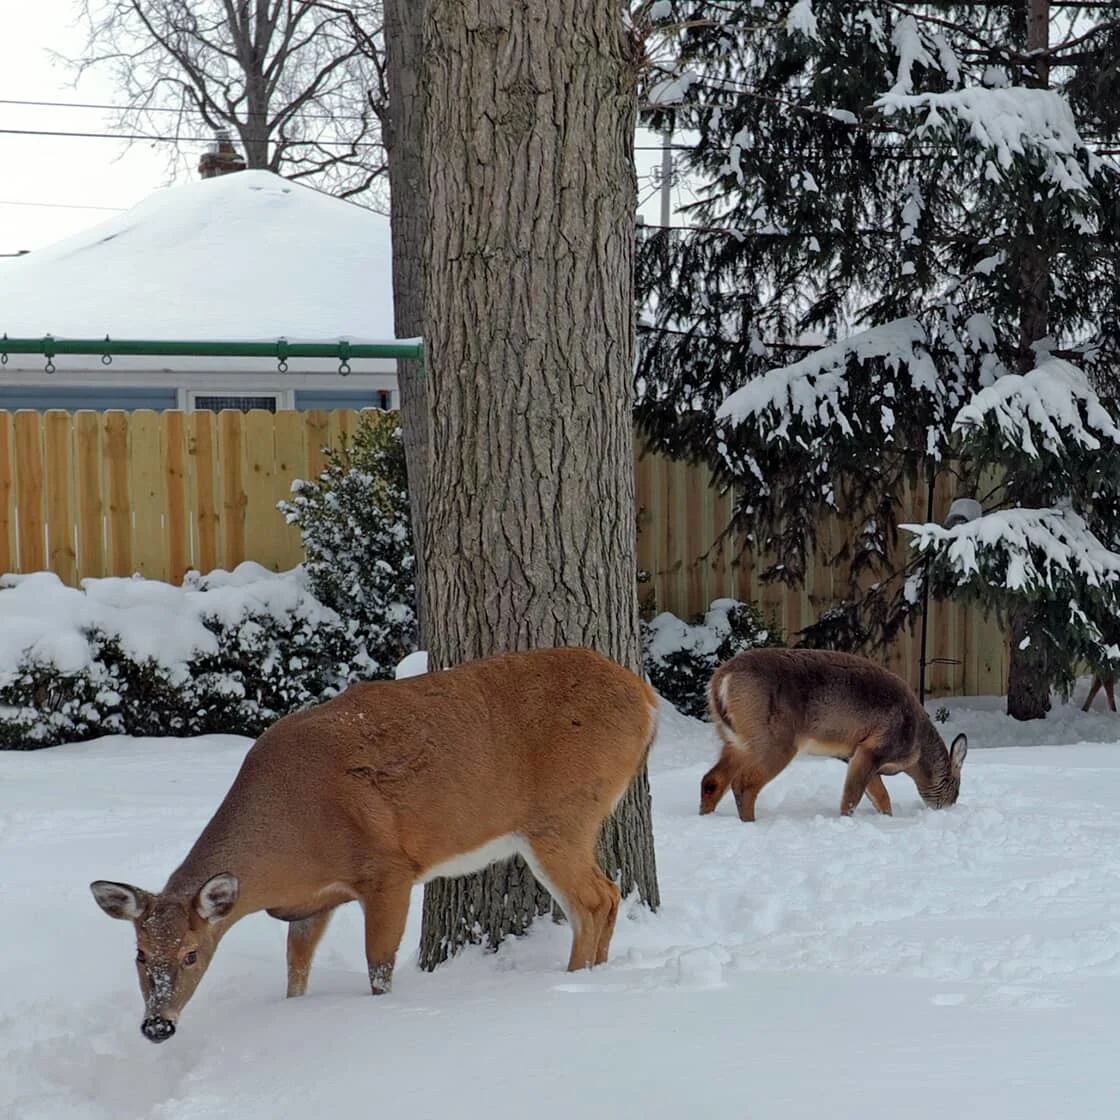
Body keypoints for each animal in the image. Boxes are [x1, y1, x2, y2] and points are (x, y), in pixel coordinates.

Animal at [96, 645, 658, 1043]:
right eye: (140, 954)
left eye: (192, 954)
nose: (157, 1027)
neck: (292, 834)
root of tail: (646, 699)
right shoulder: (312, 904)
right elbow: (295, 972)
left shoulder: (388, 870)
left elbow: (379, 970)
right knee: (607, 895)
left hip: (562, 815)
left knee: (595, 899)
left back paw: (572, 982)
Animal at [698, 649, 963, 824]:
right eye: (957, 788)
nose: (948, 807)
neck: (918, 750)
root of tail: (720, 679)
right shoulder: (875, 748)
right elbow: (852, 797)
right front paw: (847, 822)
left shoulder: (855, 755)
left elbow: (881, 797)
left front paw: (888, 819)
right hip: (774, 739)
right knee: (743, 784)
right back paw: (751, 823)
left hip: (735, 739)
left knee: (712, 780)